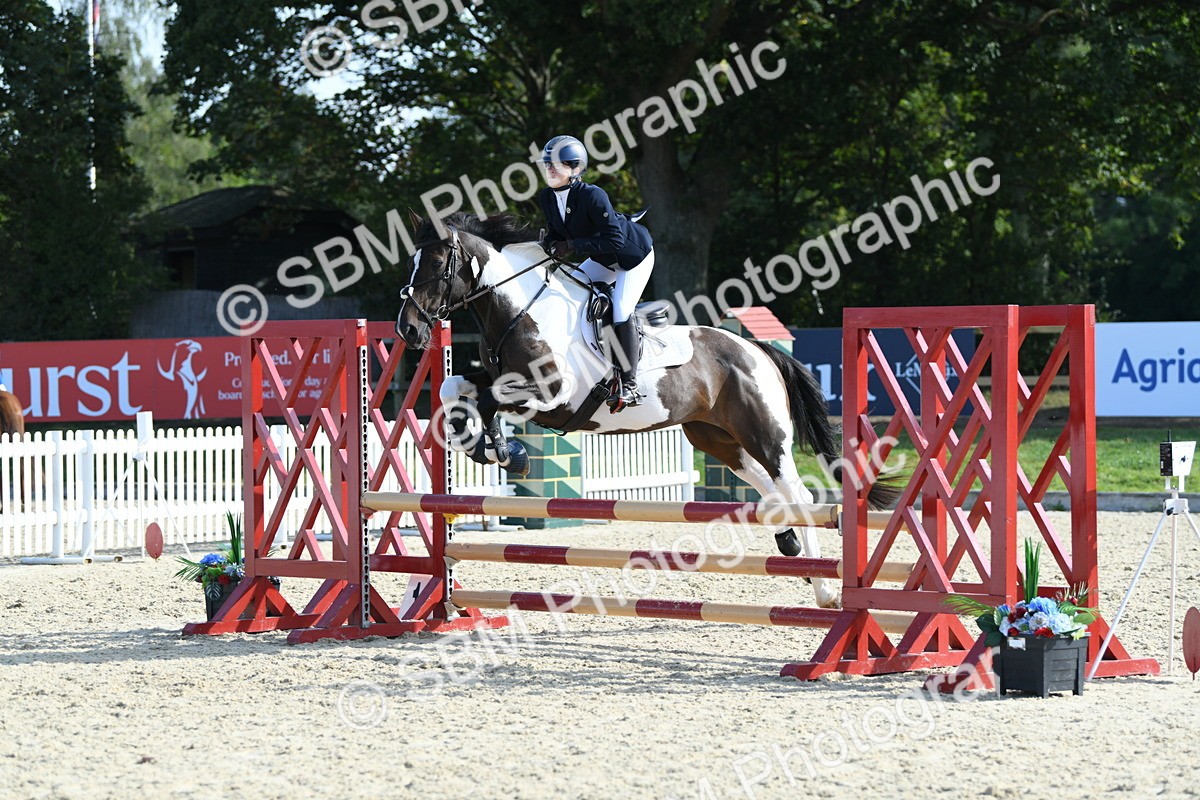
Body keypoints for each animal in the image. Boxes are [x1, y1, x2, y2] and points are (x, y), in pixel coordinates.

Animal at [395, 212, 899, 608]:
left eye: (437, 264)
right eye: (412, 263)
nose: (409, 330)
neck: (521, 310)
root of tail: (756, 349)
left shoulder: (553, 395)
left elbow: (490, 402)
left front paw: (505, 452)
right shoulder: (503, 381)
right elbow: (455, 389)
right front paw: (482, 447)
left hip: (765, 434)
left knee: (799, 495)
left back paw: (824, 588)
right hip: (718, 439)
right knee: (768, 487)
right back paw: (790, 546)